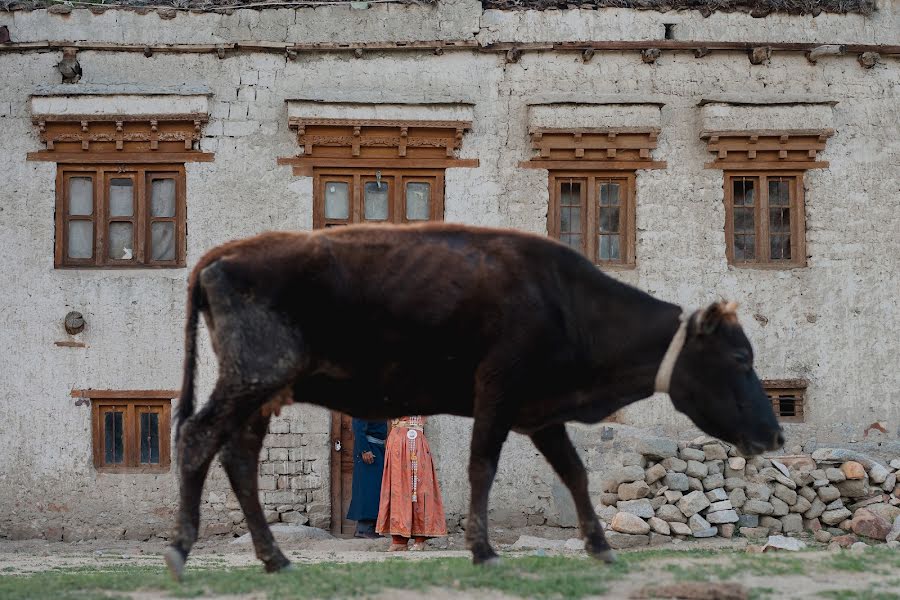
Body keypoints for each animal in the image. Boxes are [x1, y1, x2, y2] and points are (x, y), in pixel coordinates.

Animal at [165, 223, 784, 580]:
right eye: (740, 358)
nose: (776, 434)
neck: (567, 303)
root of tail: (218, 256)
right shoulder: (499, 393)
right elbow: (482, 465)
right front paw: (484, 550)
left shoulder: (541, 414)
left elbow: (576, 473)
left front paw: (600, 546)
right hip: (253, 377)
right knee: (198, 437)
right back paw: (181, 551)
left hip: (263, 393)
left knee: (238, 458)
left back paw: (274, 557)